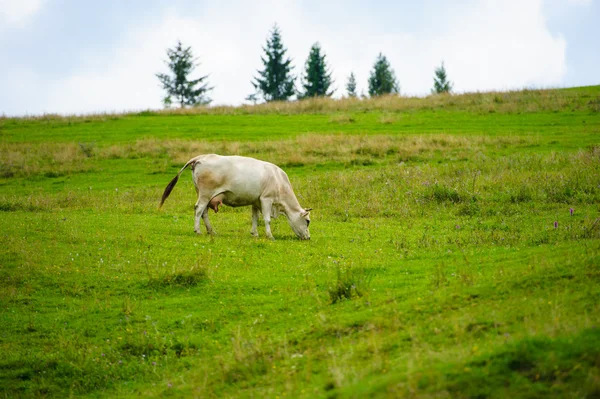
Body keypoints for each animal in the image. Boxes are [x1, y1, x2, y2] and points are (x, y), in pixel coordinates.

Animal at [159, 153, 312, 241]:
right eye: (308, 221)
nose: (309, 237)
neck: (278, 180)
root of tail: (201, 157)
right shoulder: (266, 199)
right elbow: (267, 219)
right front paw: (270, 236)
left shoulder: (256, 201)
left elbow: (255, 218)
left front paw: (254, 234)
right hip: (205, 194)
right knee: (198, 210)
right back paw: (198, 231)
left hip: (205, 195)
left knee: (204, 213)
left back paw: (211, 231)